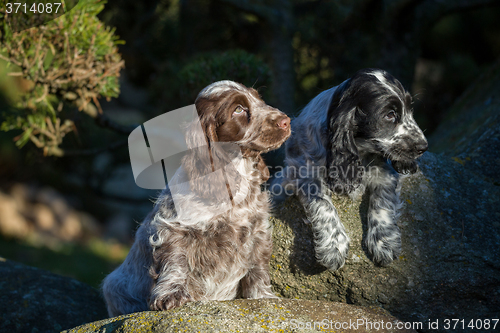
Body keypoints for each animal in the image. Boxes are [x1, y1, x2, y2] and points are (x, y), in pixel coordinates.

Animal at [101, 79, 290, 316]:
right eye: (238, 109)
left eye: (259, 99)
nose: (286, 121)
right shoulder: (173, 229)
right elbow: (175, 263)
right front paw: (170, 295)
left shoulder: (258, 230)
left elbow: (258, 267)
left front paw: (263, 296)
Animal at [272, 67, 428, 270]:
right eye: (390, 115)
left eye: (410, 109)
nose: (424, 146)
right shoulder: (303, 171)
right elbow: (323, 205)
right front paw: (333, 246)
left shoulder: (384, 171)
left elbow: (383, 200)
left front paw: (384, 242)